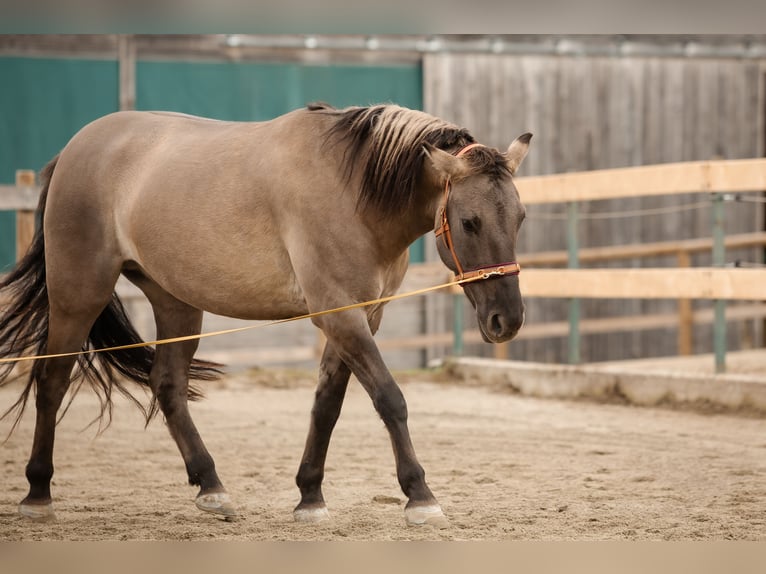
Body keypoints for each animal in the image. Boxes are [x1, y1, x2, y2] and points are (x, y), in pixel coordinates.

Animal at [0, 102, 532, 528]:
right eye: (469, 221)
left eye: (520, 217)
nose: (507, 320)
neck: (352, 190)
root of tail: (75, 150)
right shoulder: (341, 317)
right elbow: (389, 398)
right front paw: (420, 495)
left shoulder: (359, 317)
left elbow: (327, 405)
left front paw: (310, 497)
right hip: (78, 295)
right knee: (51, 381)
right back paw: (38, 494)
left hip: (176, 302)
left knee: (168, 386)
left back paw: (212, 487)